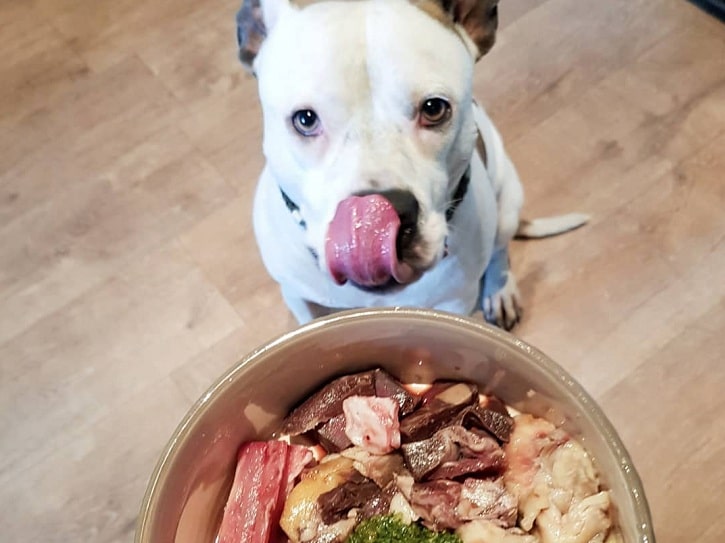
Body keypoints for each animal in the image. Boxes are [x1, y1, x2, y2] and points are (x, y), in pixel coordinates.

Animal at [238, 0, 588, 330]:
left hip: (507, 202)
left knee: (500, 252)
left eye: (434, 108)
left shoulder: (455, 302)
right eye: (305, 119)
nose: (380, 217)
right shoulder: (299, 298)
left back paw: (500, 292)